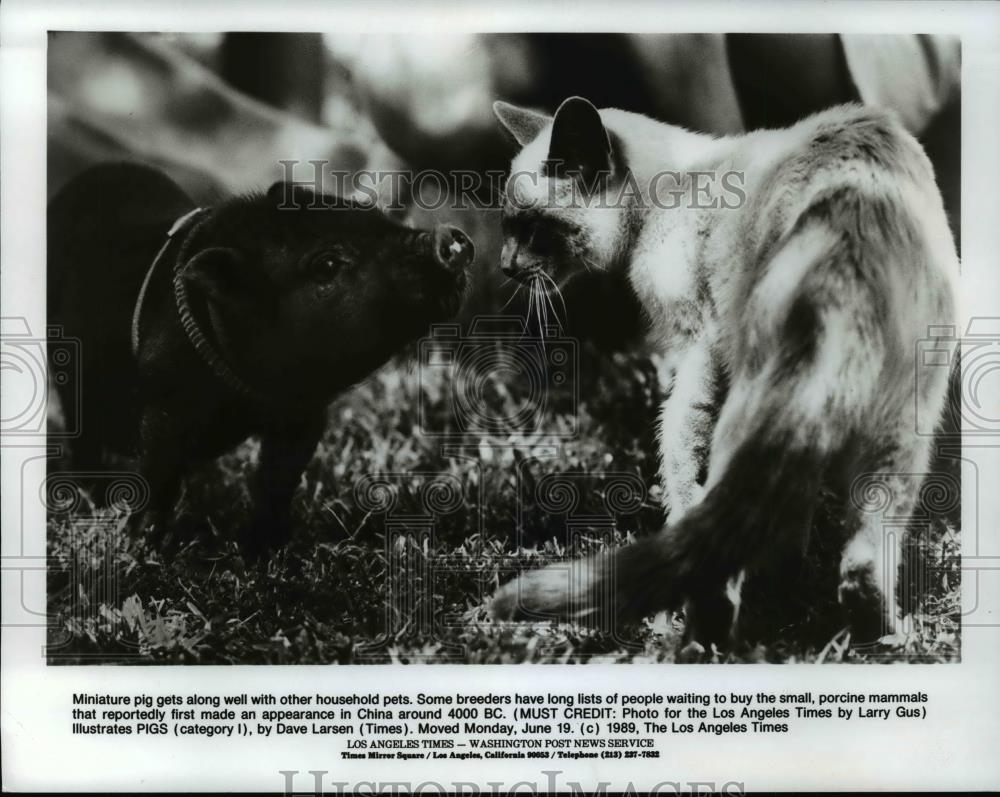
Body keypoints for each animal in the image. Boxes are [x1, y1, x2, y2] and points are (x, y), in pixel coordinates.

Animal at [51, 163, 476, 552]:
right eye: (327, 264)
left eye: (373, 214)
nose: (449, 238)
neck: (251, 394)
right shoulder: (165, 405)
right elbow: (160, 475)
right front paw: (142, 546)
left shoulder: (303, 416)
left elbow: (277, 481)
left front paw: (267, 549)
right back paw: (92, 491)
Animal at [488, 95, 956, 652]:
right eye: (508, 229)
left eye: (534, 229)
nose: (506, 266)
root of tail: (850, 226)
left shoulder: (696, 344)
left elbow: (676, 447)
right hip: (900, 434)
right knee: (857, 560)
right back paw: (874, 635)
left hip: (752, 409)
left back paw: (699, 642)